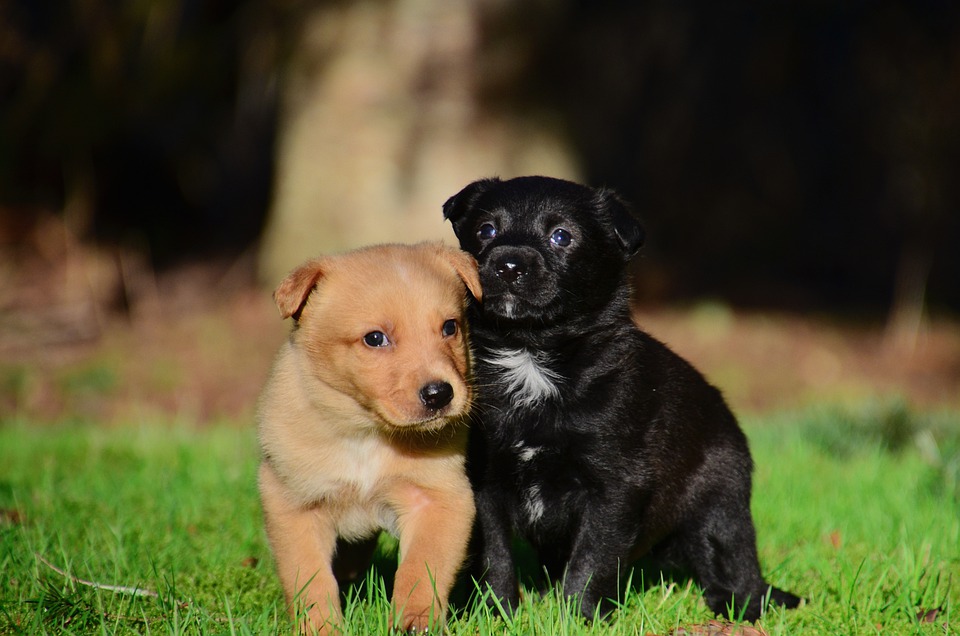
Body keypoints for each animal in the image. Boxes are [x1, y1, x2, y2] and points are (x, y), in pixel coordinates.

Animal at [256, 242, 480, 632]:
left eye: (450, 327)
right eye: (375, 338)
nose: (440, 394)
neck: (367, 434)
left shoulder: (439, 498)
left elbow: (422, 568)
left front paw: (414, 622)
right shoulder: (292, 501)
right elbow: (310, 577)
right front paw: (320, 627)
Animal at [444, 175, 804, 620]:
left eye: (561, 236)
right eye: (486, 231)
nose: (508, 264)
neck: (531, 356)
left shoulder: (616, 486)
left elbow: (592, 559)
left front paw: (576, 618)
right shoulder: (484, 479)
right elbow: (494, 555)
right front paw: (495, 613)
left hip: (719, 502)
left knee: (735, 558)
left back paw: (741, 607)